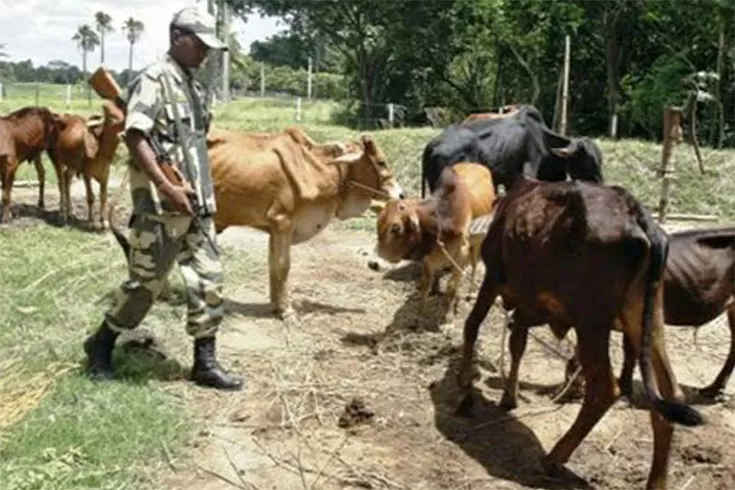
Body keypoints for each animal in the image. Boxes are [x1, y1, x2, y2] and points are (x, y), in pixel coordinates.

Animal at [53, 101, 126, 230]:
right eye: (111, 118)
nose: (123, 134)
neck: (100, 152)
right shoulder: (86, 174)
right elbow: (90, 197)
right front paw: (91, 222)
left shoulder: (105, 174)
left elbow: (103, 196)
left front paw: (103, 221)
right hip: (58, 160)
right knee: (61, 183)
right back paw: (62, 214)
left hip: (72, 165)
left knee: (67, 178)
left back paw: (70, 212)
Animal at [376, 162, 498, 330]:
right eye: (378, 225)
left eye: (396, 228)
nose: (374, 262)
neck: (442, 222)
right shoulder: (429, 258)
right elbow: (425, 286)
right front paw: (418, 318)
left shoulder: (461, 254)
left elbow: (452, 286)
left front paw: (448, 320)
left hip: (477, 242)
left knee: (473, 264)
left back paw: (472, 292)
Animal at [420, 105, 604, 197]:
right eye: (587, 160)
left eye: (600, 158)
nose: (599, 182)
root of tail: (431, 146)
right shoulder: (529, 172)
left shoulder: (508, 179)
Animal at [460, 177, 708, 490]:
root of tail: (635, 212)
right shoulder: (528, 300)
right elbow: (518, 344)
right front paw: (508, 397)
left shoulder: (493, 277)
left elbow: (472, 325)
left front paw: (464, 388)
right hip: (647, 320)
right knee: (669, 395)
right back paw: (656, 481)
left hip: (591, 323)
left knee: (605, 390)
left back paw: (553, 458)